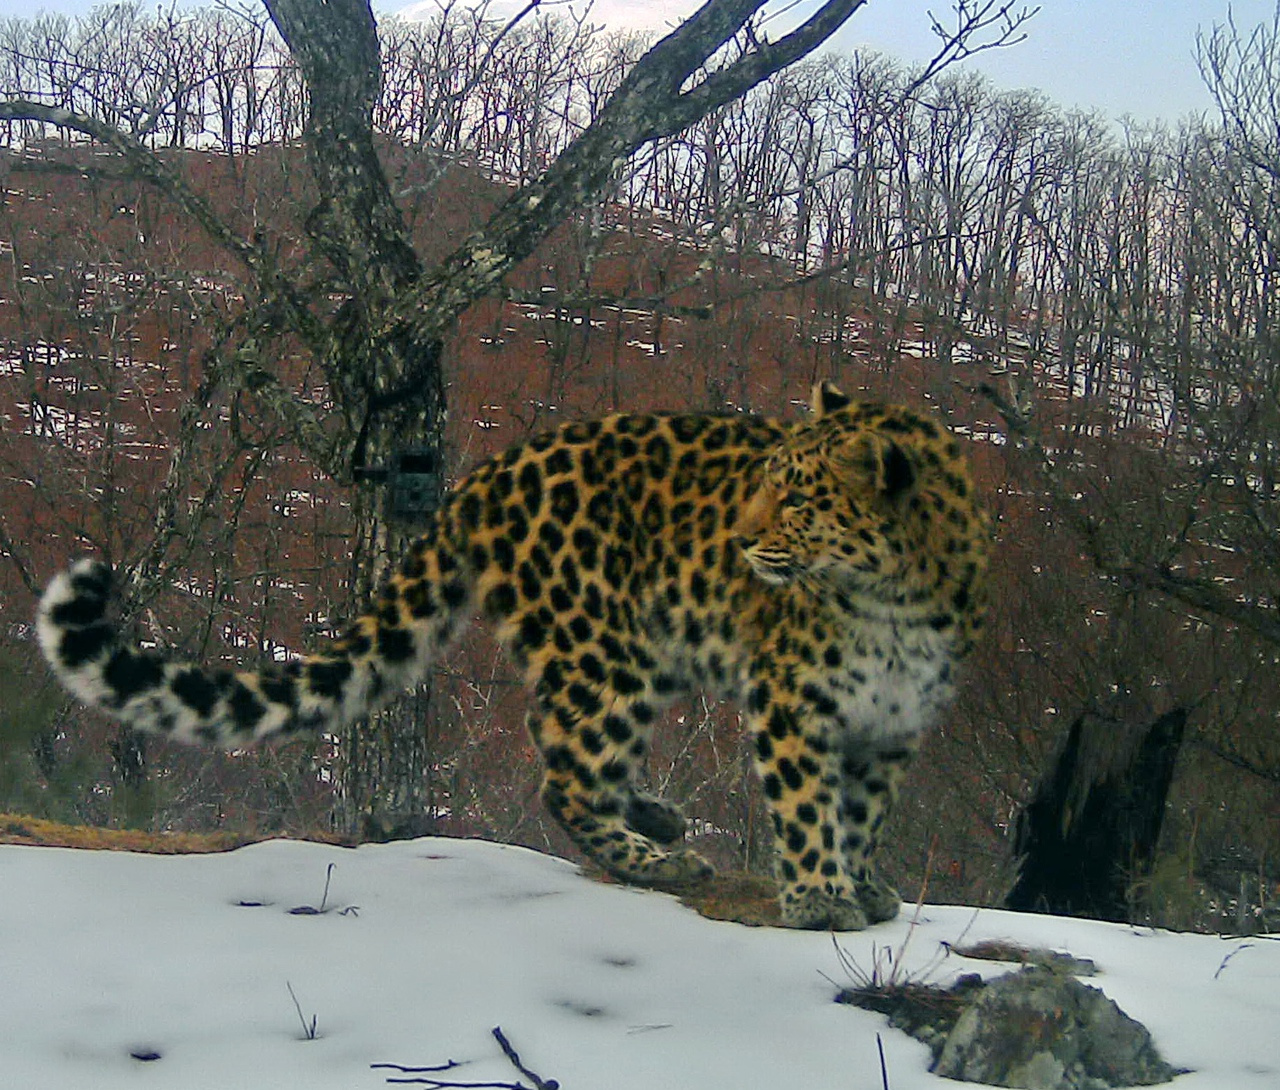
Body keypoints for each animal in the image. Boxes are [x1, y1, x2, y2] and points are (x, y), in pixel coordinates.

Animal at [32, 381, 988, 926]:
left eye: (795, 498)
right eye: (764, 485)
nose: (741, 545)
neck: (897, 598)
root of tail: (484, 477)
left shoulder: (894, 723)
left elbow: (863, 813)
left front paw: (862, 884)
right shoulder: (796, 702)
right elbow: (806, 806)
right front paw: (821, 897)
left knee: (572, 758)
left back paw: (657, 820)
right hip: (607, 652)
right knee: (563, 776)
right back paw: (659, 855)